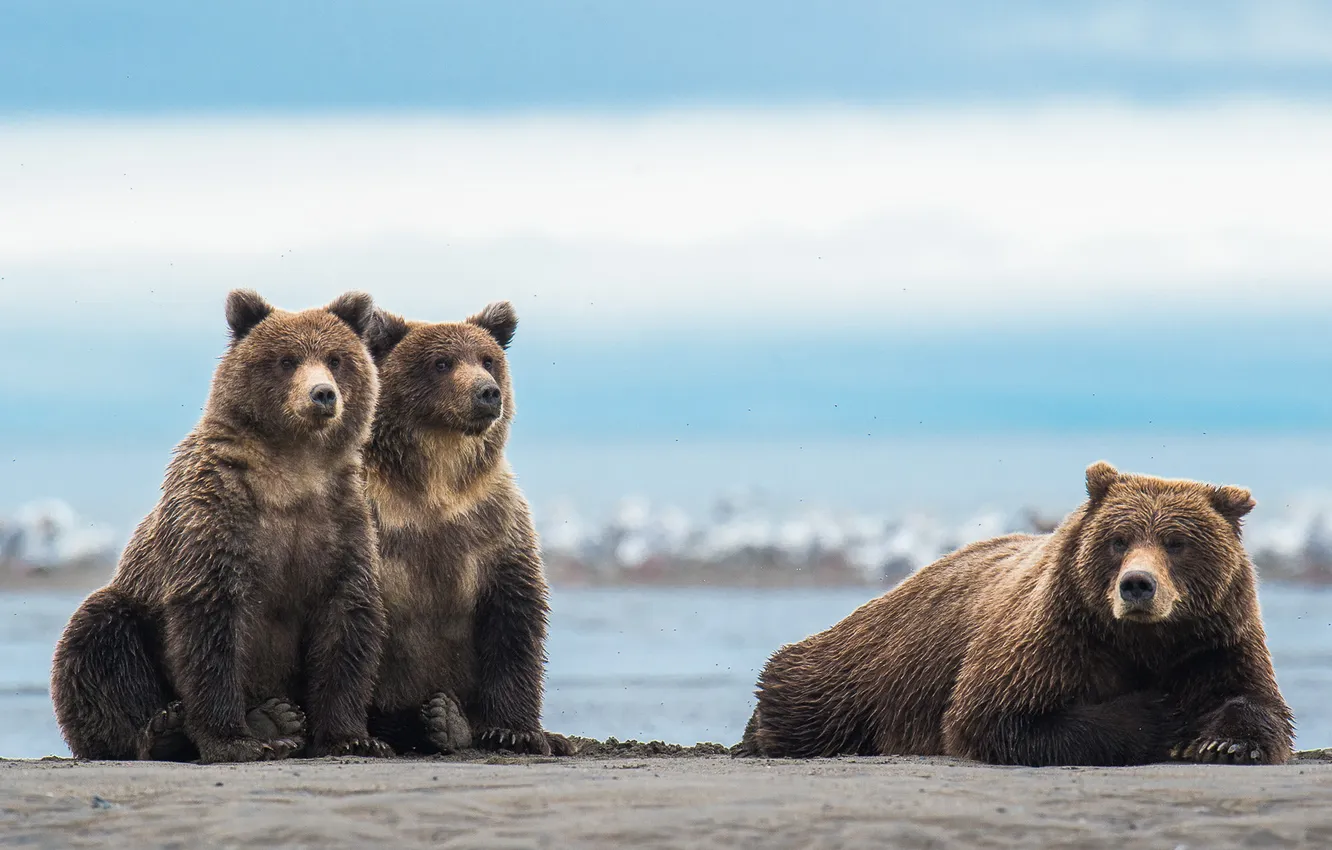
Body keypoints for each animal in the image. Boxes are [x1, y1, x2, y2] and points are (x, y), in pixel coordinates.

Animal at [50, 290, 392, 764]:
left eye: (336, 358)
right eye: (286, 360)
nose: (322, 394)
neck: (293, 470)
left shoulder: (340, 524)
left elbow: (347, 621)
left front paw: (354, 736)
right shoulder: (215, 516)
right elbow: (211, 623)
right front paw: (233, 739)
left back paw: (277, 718)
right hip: (130, 608)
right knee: (99, 641)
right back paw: (165, 731)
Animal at [360, 301, 572, 757]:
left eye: (488, 359)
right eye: (442, 363)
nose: (487, 392)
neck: (436, 481)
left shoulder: (491, 521)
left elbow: (514, 617)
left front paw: (514, 730)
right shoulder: (377, 517)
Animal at [739, 461, 1294, 766]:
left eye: (1176, 542)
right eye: (1119, 540)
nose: (1138, 585)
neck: (1144, 642)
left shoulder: (1214, 639)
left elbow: (1256, 700)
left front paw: (1225, 744)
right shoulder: (1056, 638)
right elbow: (999, 717)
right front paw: (1161, 714)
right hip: (868, 668)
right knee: (805, 700)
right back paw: (757, 735)